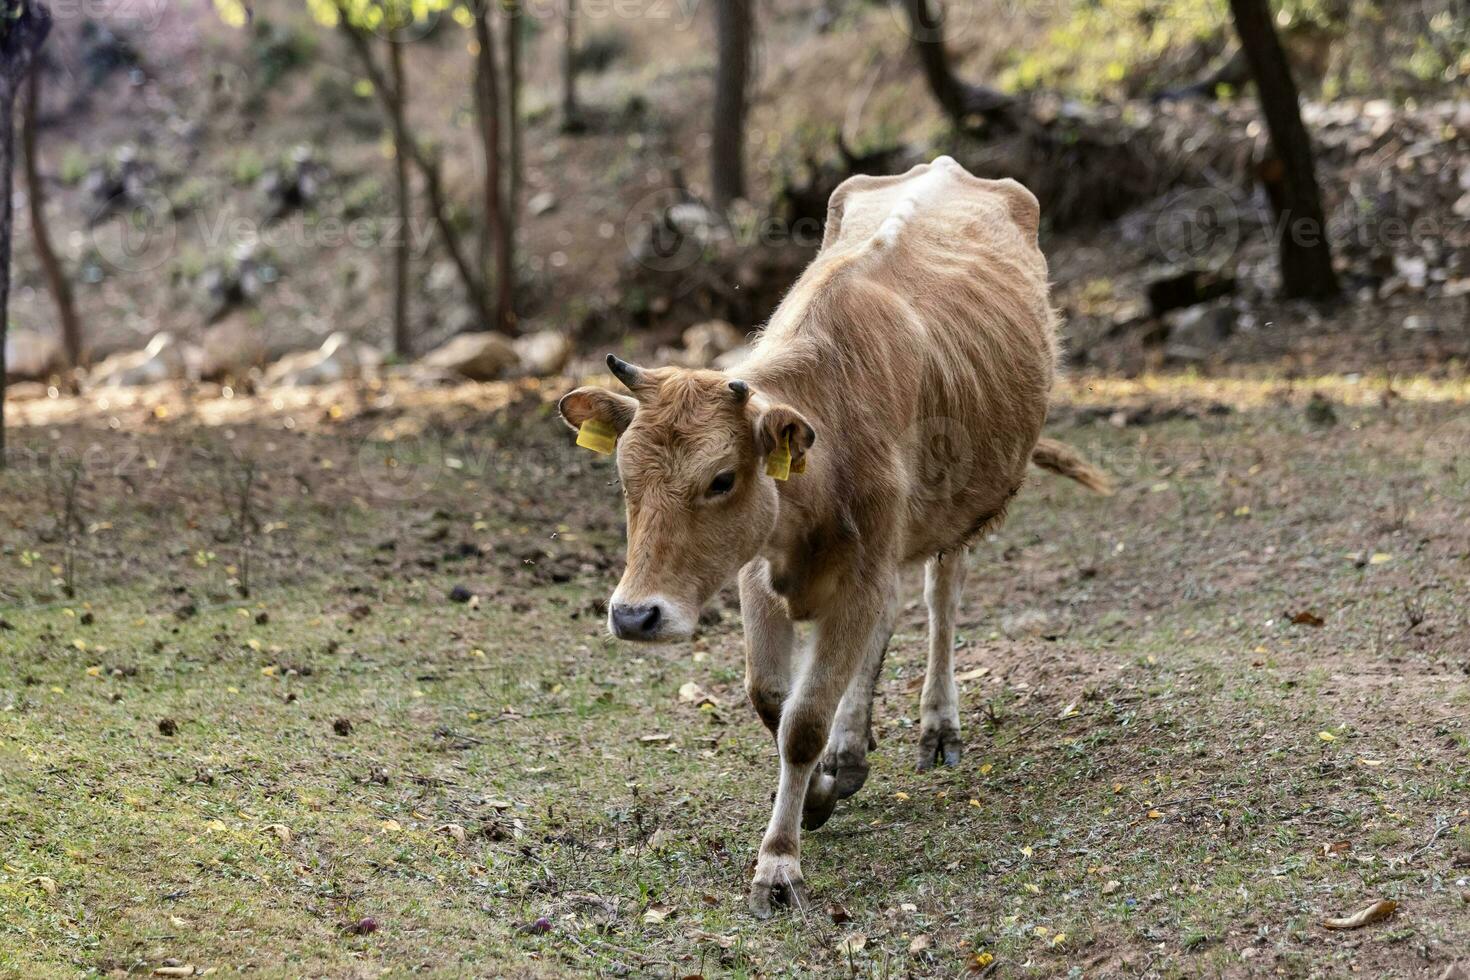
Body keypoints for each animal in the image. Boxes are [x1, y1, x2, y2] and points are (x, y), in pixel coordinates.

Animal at [555, 157, 1105, 916]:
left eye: (722, 478)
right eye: (623, 475)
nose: (636, 615)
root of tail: (949, 166)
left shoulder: (862, 570)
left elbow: (803, 721)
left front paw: (779, 863)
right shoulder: (760, 571)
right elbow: (771, 698)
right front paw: (817, 790)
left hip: (958, 513)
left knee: (941, 599)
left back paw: (937, 725)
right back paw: (850, 752)